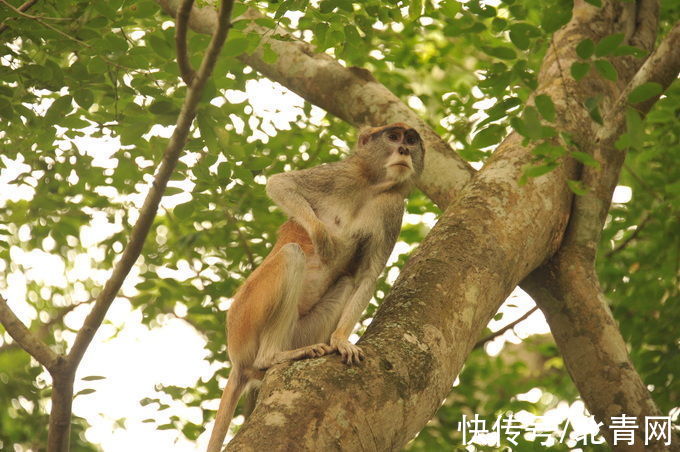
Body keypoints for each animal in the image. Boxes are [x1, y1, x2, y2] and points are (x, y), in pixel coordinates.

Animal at [205, 123, 424, 452]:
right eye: (393, 136)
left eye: (411, 140)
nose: (404, 150)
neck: (371, 185)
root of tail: (237, 359)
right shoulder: (340, 175)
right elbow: (281, 184)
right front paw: (323, 237)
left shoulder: (392, 208)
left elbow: (365, 276)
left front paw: (342, 341)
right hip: (245, 316)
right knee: (291, 254)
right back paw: (272, 357)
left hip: (296, 330)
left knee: (345, 282)